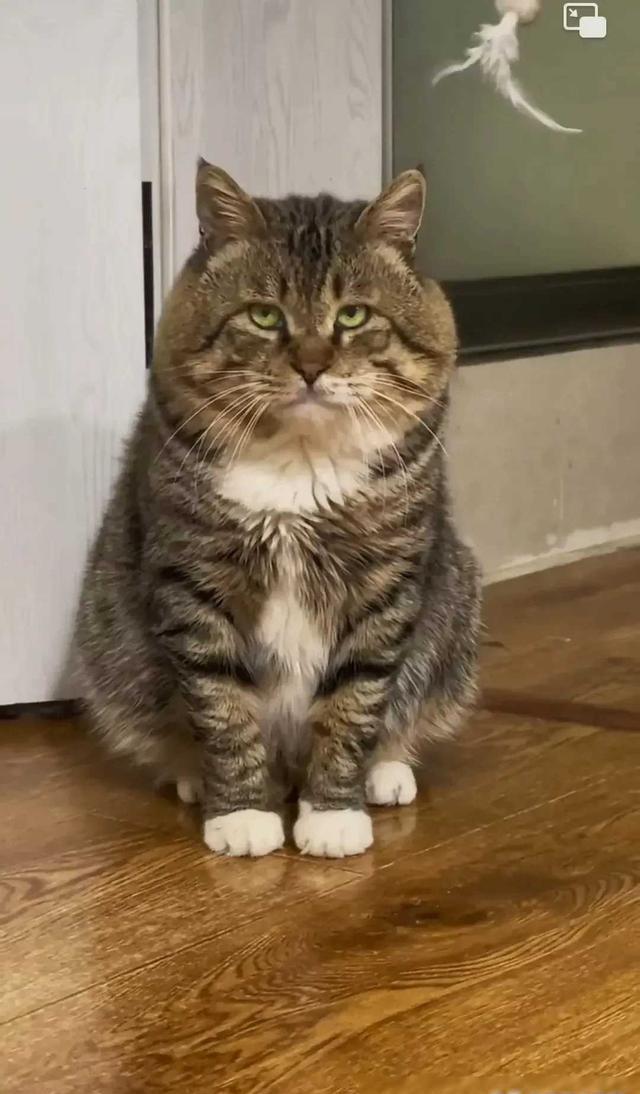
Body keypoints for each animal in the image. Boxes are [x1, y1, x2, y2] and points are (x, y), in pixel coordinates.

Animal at [75, 160, 481, 859]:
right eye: (265, 315)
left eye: (353, 315)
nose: (312, 366)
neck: (300, 464)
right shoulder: (194, 581)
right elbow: (221, 705)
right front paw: (241, 814)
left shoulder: (384, 587)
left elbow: (355, 703)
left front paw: (333, 814)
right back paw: (197, 778)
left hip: (454, 609)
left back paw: (386, 772)